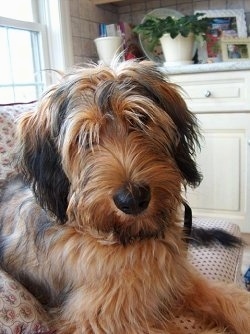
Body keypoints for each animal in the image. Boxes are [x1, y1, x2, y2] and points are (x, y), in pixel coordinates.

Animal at [0, 60, 250, 334]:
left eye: (140, 119)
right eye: (84, 138)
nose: (133, 200)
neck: (127, 238)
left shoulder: (179, 278)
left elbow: (227, 297)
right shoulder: (100, 319)